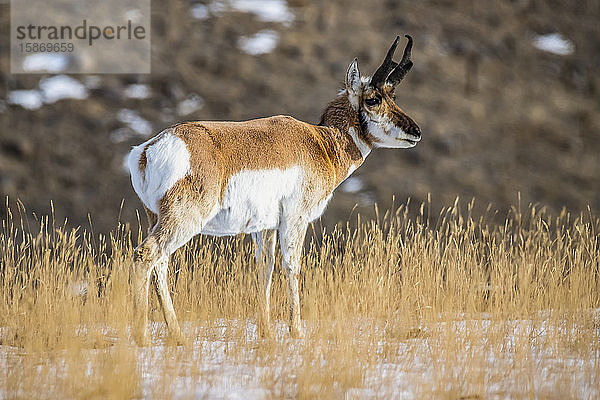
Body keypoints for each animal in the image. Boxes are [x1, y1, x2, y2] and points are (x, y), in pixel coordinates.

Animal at [127, 34, 422, 344]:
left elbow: (264, 269)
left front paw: (266, 331)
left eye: (394, 97)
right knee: (145, 255)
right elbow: (292, 266)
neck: (321, 143)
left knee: (160, 264)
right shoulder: (295, 219)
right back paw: (142, 336)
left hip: (157, 219)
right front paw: (297, 330)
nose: (416, 132)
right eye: (373, 99)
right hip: (184, 220)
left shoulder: (264, 228)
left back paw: (177, 335)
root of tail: (147, 150)